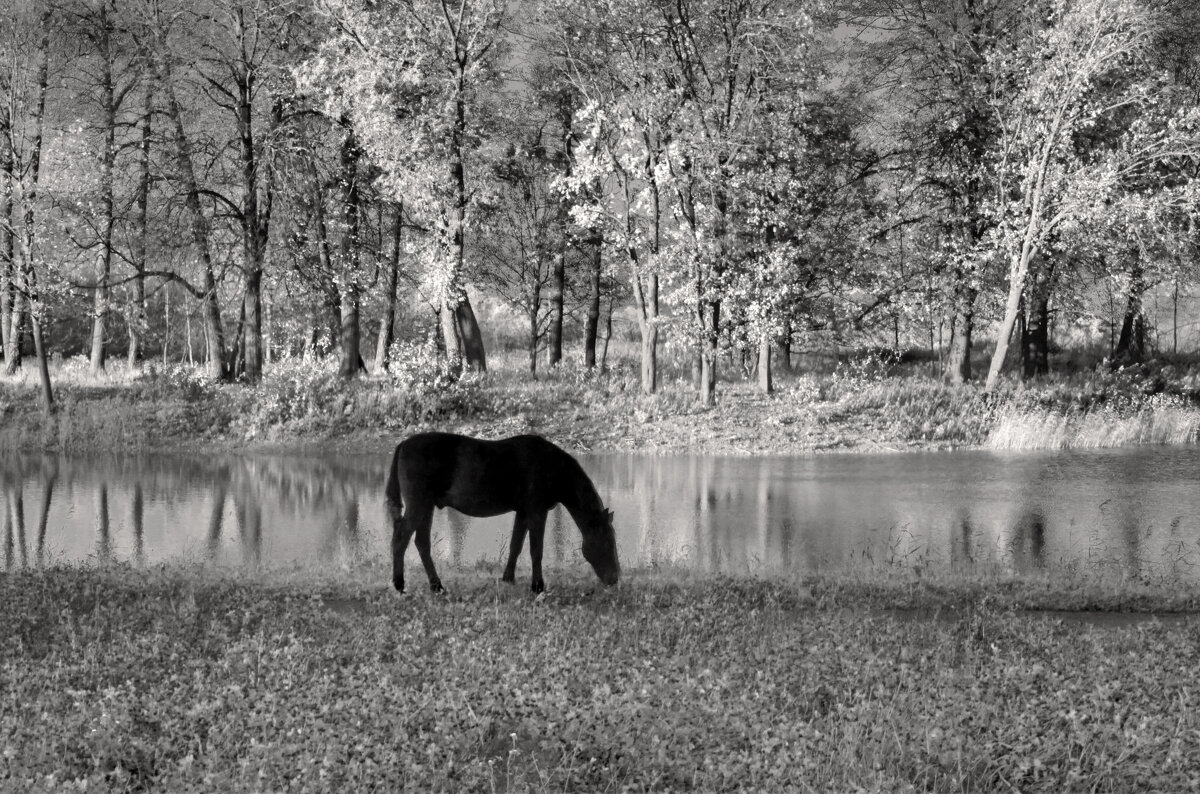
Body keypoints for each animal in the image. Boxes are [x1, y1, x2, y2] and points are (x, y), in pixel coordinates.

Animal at [388, 431, 624, 594]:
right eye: (608, 542)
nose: (615, 578)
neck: (553, 467)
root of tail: (403, 444)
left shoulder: (523, 512)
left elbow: (516, 546)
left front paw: (508, 578)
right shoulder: (536, 510)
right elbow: (536, 550)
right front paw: (537, 586)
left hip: (426, 507)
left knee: (421, 543)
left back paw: (436, 585)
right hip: (418, 505)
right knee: (400, 540)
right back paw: (400, 585)